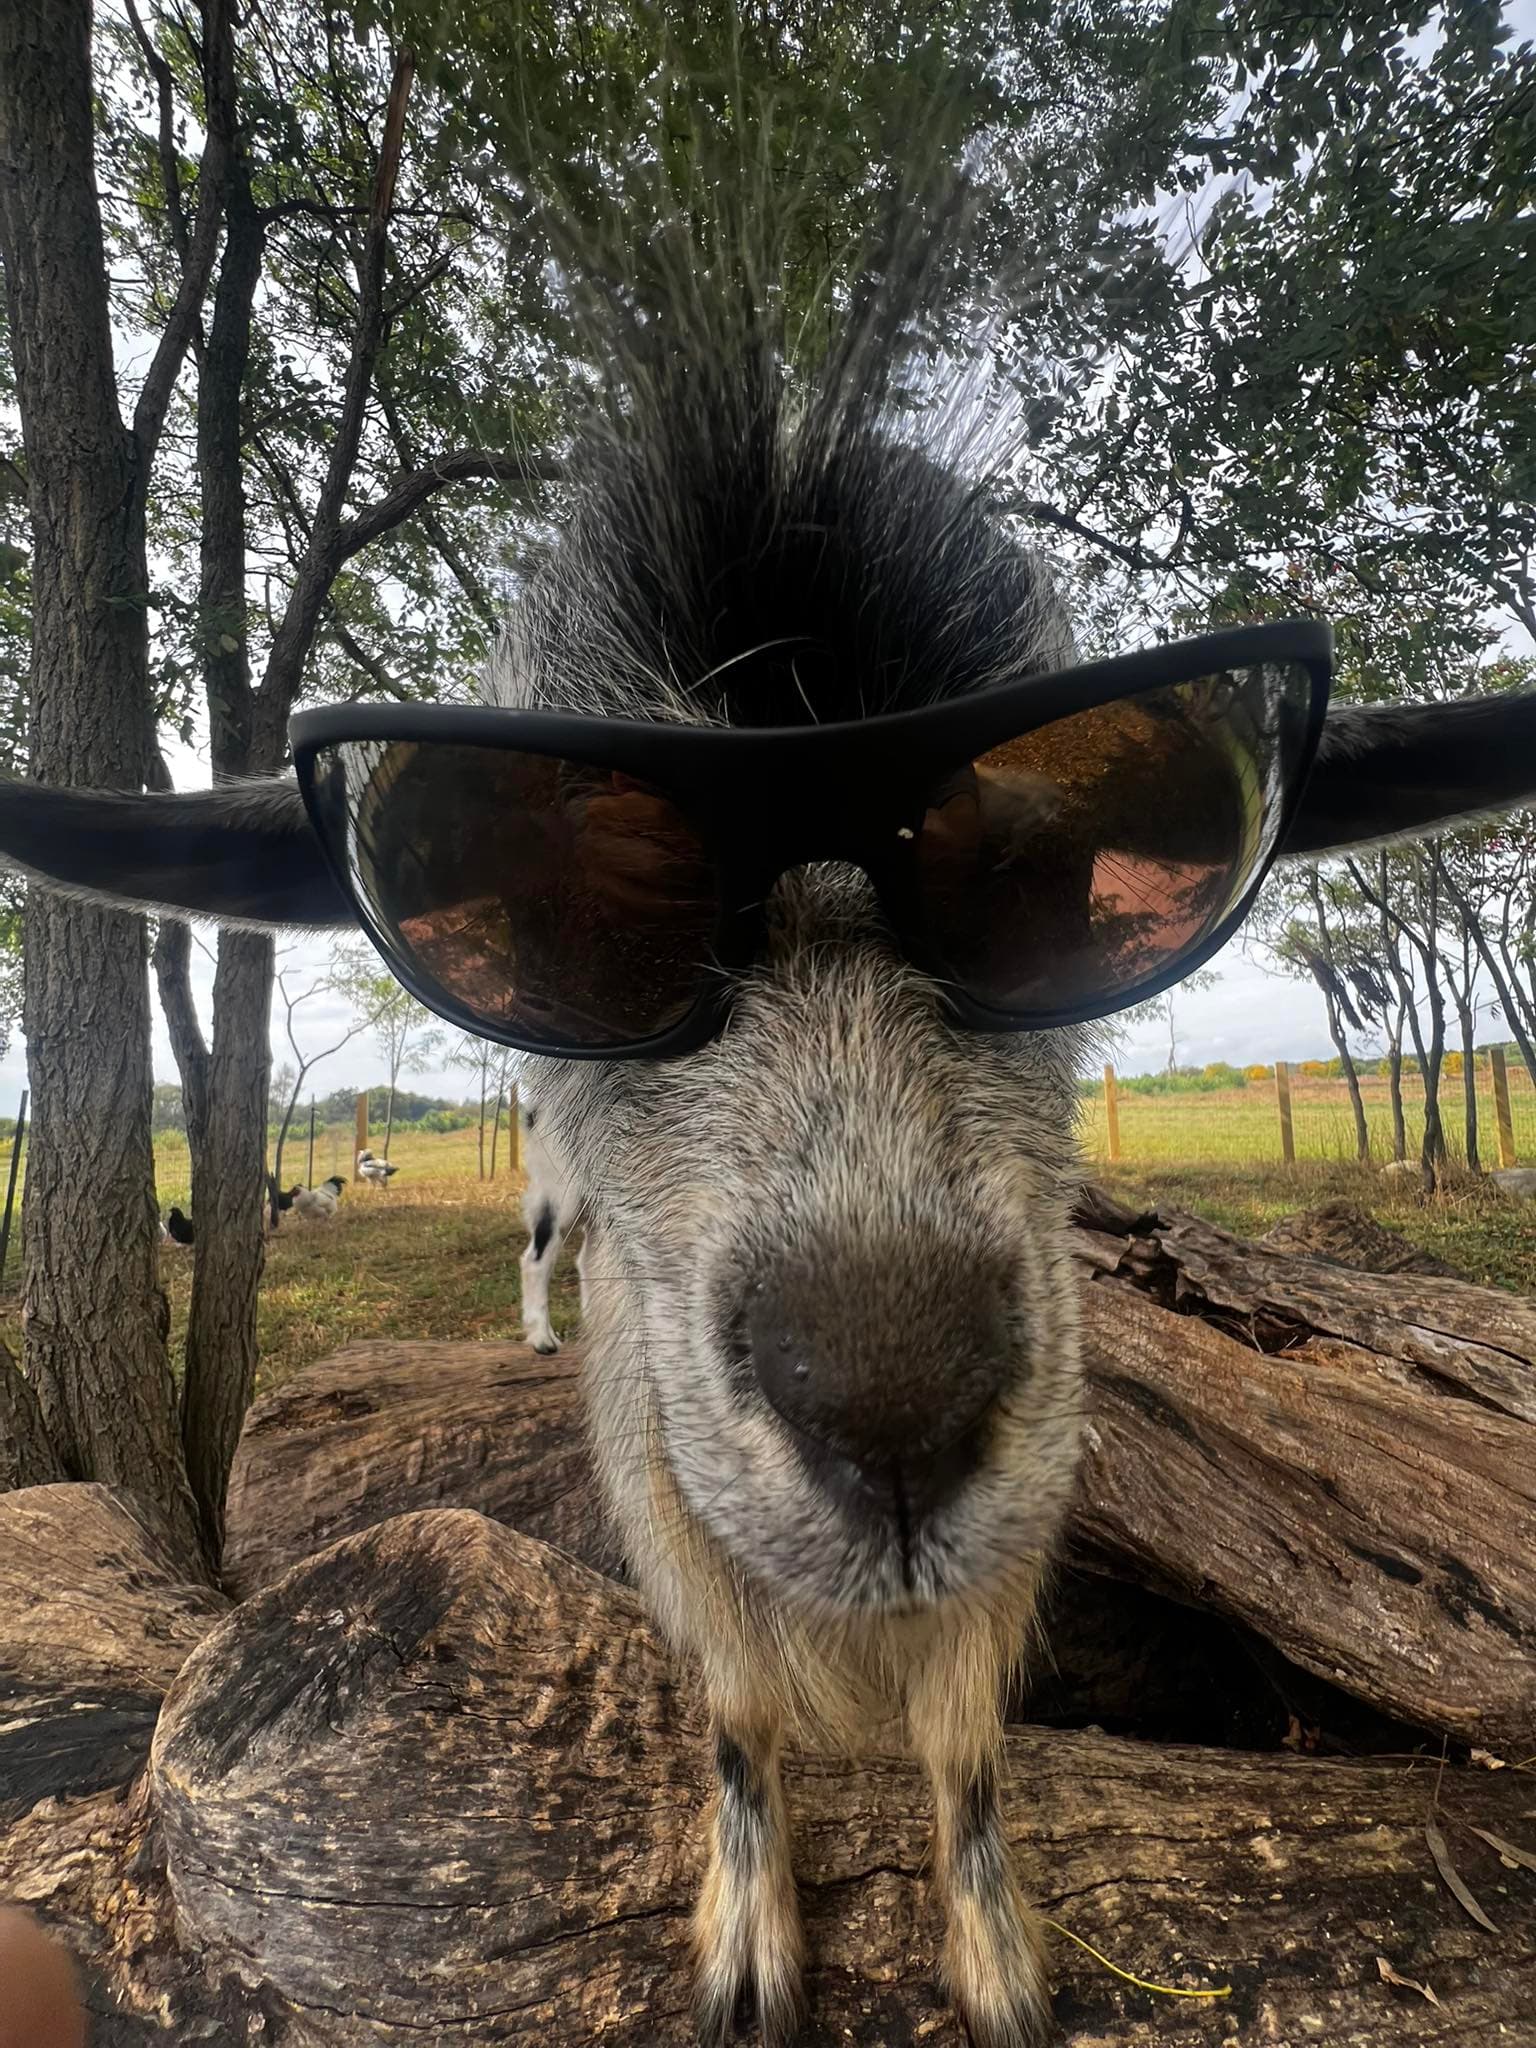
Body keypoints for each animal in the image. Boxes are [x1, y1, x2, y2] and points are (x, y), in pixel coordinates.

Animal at [4, 175, 1536, 2048]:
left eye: (1052, 865)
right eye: (545, 891)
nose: (892, 1407)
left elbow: (968, 1739)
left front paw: (996, 1956)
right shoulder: (657, 1426)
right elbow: (732, 1698)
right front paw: (747, 1943)